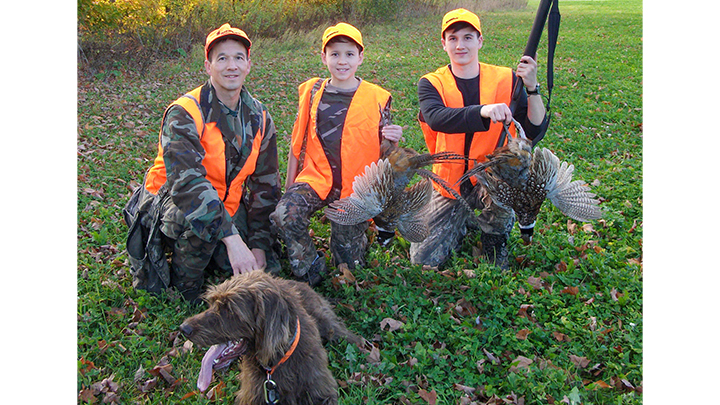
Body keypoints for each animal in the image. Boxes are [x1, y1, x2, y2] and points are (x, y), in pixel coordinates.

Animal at [178, 268, 362, 404]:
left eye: (230, 309)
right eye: (212, 302)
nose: (183, 328)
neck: (278, 359)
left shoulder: (322, 390)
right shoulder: (252, 396)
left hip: (328, 325)